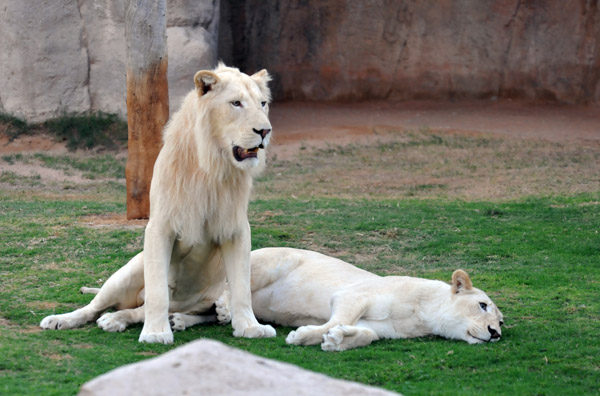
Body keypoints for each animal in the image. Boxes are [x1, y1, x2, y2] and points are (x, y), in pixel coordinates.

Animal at [38, 65, 278, 344]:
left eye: (262, 103)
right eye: (236, 103)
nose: (264, 131)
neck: (212, 165)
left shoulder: (235, 227)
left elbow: (242, 288)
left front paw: (250, 327)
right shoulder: (161, 225)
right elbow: (157, 291)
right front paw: (155, 332)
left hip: (205, 296)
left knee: (151, 311)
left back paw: (152, 320)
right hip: (128, 272)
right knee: (98, 306)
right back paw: (64, 320)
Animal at [216, 249, 502, 352]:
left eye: (501, 321)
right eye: (482, 305)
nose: (495, 333)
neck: (422, 314)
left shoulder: (385, 328)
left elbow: (367, 334)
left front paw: (336, 341)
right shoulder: (354, 294)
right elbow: (339, 316)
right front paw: (302, 336)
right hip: (276, 259)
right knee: (232, 284)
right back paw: (224, 309)